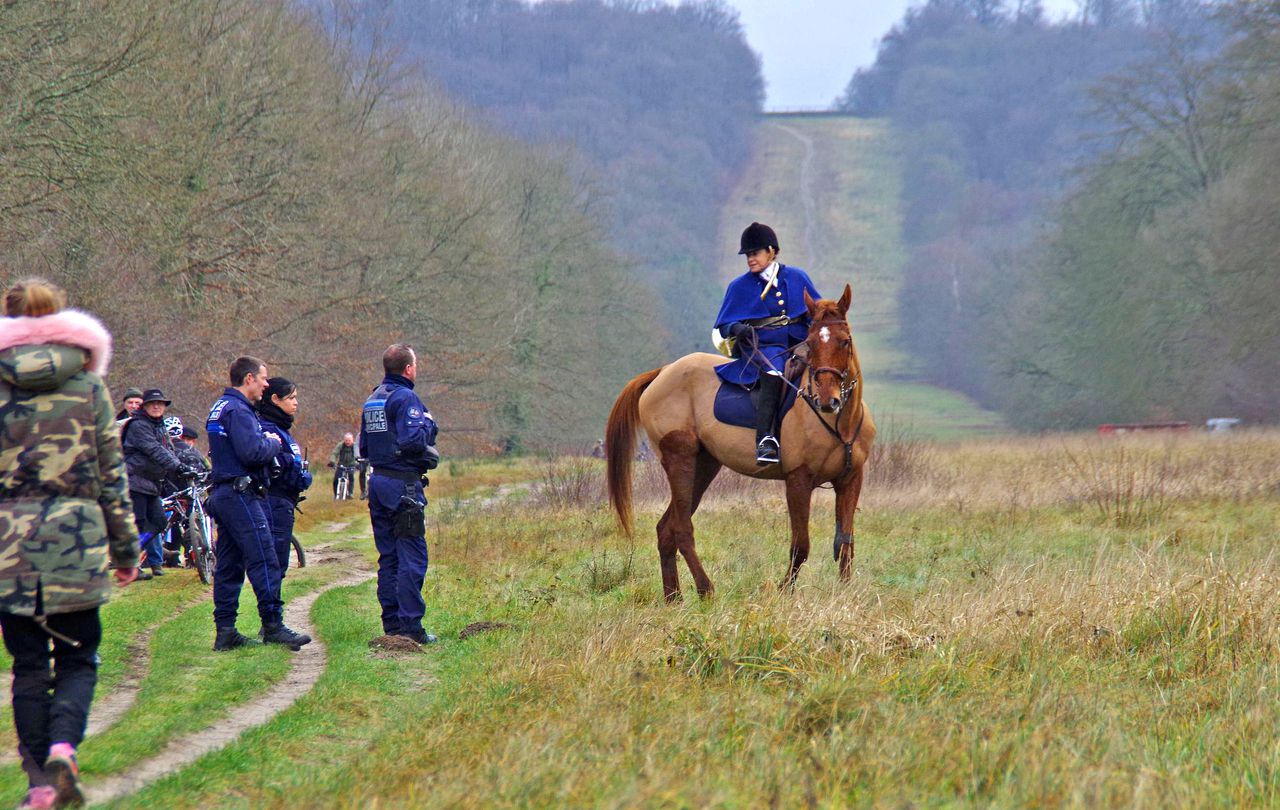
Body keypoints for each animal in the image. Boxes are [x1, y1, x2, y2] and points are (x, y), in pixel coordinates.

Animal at [606, 285, 870, 601]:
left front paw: (846, 592)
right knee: (681, 528)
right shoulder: (798, 481)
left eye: (845, 342)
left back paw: (673, 597)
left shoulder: (850, 480)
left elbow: (845, 542)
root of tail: (662, 372)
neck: (840, 423)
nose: (827, 401)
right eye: (811, 343)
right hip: (680, 459)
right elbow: (801, 545)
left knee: (665, 529)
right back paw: (705, 589)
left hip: (704, 466)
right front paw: (783, 591)